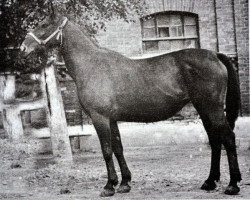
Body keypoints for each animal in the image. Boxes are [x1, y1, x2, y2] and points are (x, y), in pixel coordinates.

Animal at [20, 13, 241, 197]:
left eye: (44, 25)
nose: (23, 47)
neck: (92, 65)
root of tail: (214, 55)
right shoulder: (111, 119)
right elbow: (118, 148)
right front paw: (125, 183)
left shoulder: (100, 118)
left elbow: (107, 150)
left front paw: (109, 186)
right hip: (204, 109)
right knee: (215, 141)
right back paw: (209, 182)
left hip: (212, 109)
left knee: (228, 138)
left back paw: (232, 185)